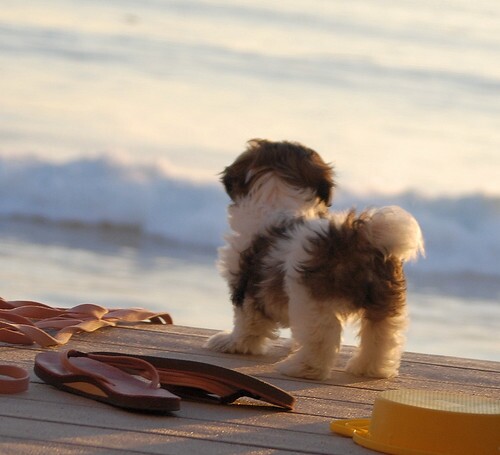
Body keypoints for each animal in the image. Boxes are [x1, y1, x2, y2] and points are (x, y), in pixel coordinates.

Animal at [205, 139, 424, 382]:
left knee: (322, 337)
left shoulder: (245, 282)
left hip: (311, 299)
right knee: (382, 334)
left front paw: (233, 343)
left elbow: (246, 320)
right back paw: (370, 368)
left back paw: (301, 368)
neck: (279, 199)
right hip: (385, 298)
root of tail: (353, 237)